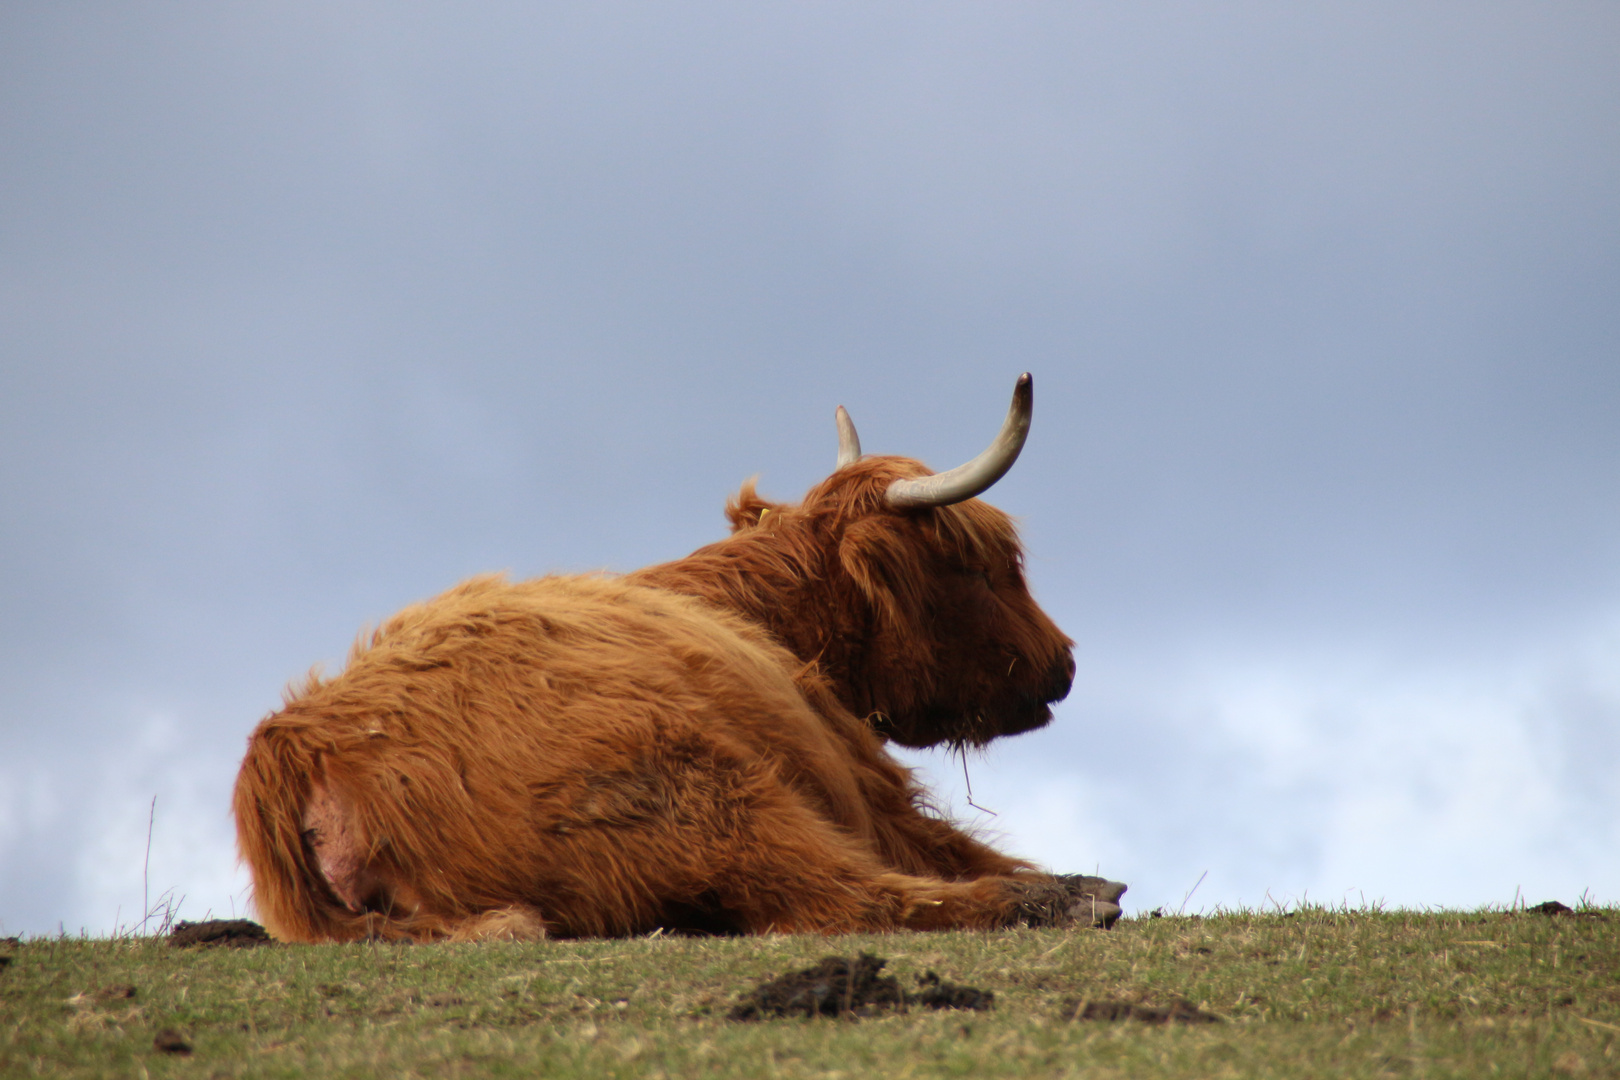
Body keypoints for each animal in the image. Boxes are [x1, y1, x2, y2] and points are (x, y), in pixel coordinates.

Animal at [234, 375, 1127, 939]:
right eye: (980, 566)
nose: (1063, 663)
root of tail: (294, 749)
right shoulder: (870, 792)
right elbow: (951, 849)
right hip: (708, 798)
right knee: (848, 896)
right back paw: (1060, 901)